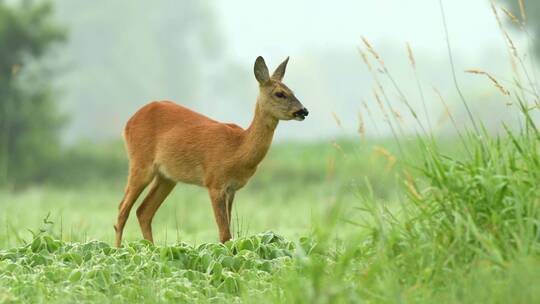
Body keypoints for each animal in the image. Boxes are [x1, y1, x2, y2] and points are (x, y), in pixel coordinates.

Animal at [114, 56, 308, 247]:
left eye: (292, 90)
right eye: (280, 93)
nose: (304, 111)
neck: (238, 148)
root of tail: (128, 122)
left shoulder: (231, 188)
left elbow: (228, 233)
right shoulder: (214, 182)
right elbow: (224, 234)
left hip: (167, 177)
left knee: (143, 211)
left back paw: (151, 249)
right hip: (140, 163)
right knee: (122, 210)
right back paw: (117, 250)